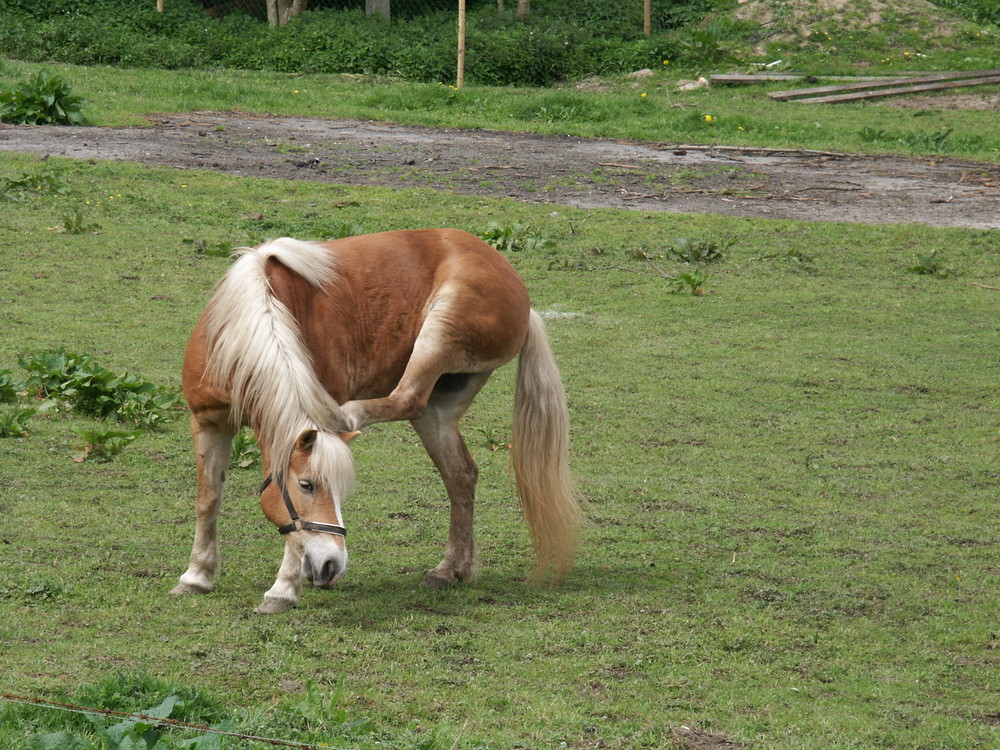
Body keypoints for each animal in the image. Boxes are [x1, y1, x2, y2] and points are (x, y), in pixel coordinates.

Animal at [169, 231, 584, 616]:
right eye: (307, 484)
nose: (332, 564)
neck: (242, 332)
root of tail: (522, 298)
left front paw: (282, 590)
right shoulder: (207, 423)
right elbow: (208, 498)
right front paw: (196, 576)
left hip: (440, 332)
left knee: (408, 396)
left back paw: (347, 413)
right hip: (438, 410)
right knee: (460, 474)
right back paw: (451, 569)